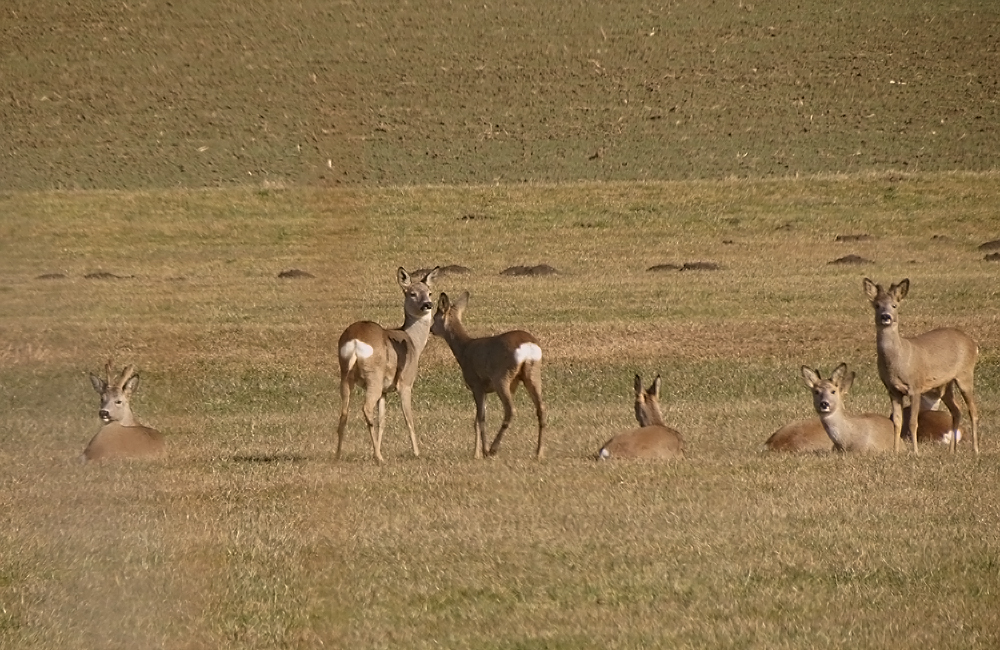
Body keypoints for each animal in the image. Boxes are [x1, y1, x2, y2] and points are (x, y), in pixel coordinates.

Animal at [336, 266, 438, 464]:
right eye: (412, 293)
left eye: (430, 292)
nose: (427, 304)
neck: (413, 342)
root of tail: (354, 342)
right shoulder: (406, 382)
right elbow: (408, 418)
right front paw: (417, 452)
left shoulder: (384, 391)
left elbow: (382, 420)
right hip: (373, 375)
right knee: (366, 408)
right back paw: (378, 457)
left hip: (345, 373)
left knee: (344, 412)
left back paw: (338, 455)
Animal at [430, 292, 548, 458]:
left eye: (435, 317)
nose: (431, 329)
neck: (464, 349)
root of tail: (528, 347)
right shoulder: (484, 389)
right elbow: (476, 419)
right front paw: (476, 453)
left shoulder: (476, 384)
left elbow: (481, 418)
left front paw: (482, 450)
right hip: (533, 373)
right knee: (541, 408)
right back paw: (539, 453)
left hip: (502, 377)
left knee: (510, 410)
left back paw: (493, 449)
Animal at [864, 276, 980, 454]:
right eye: (877, 305)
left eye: (894, 305)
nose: (886, 316)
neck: (898, 361)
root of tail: (973, 344)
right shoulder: (892, 390)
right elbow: (897, 422)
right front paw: (895, 452)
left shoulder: (915, 386)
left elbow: (913, 422)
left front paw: (916, 452)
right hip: (946, 384)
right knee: (957, 410)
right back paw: (951, 451)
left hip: (965, 374)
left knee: (973, 410)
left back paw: (975, 449)